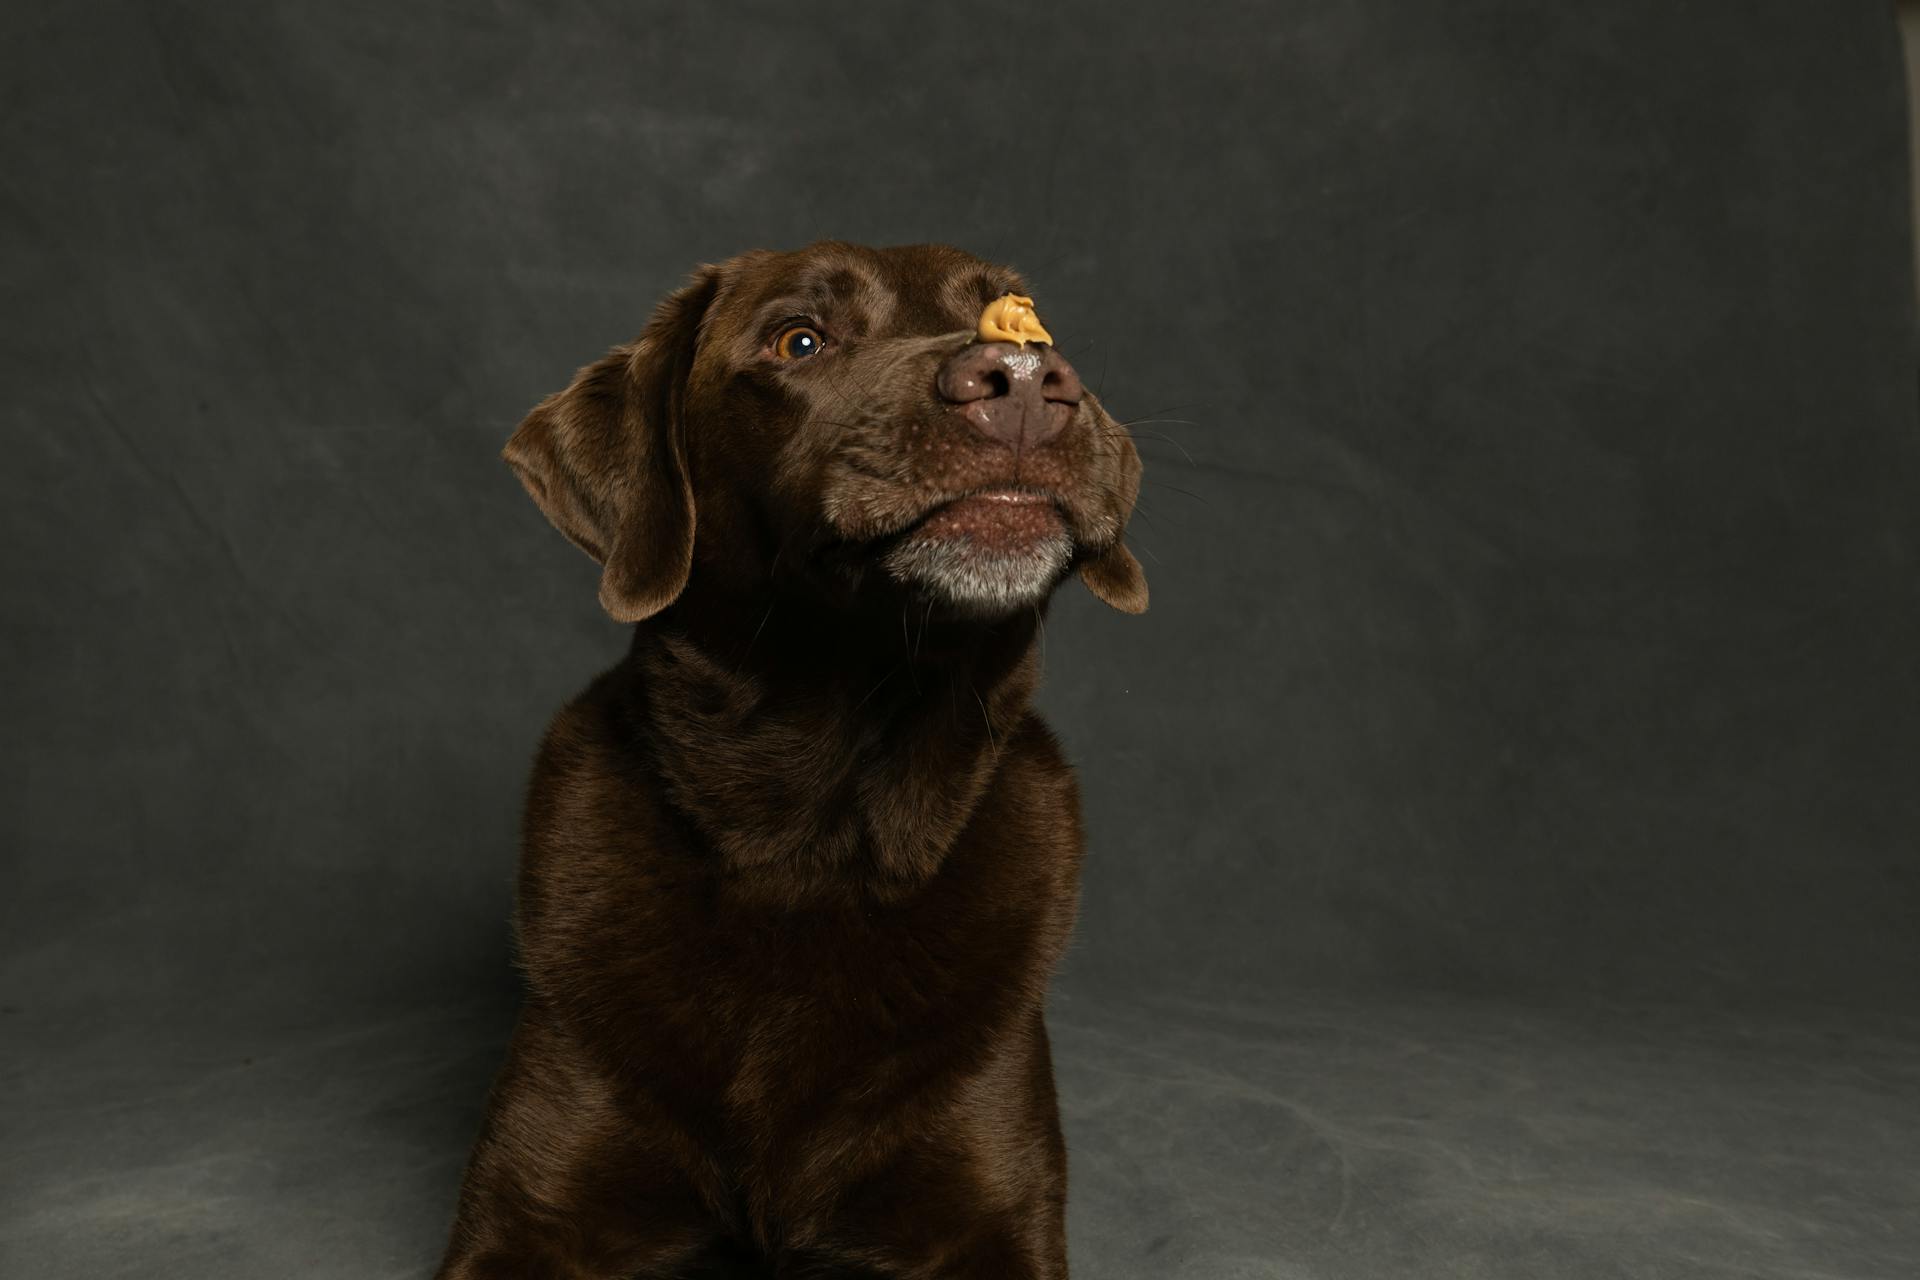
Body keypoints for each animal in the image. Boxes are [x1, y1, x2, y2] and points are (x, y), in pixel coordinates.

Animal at [435, 242, 1136, 1280]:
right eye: (798, 340)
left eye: (1030, 329)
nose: (1019, 381)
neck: (811, 829)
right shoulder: (531, 1214)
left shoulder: (989, 1212)